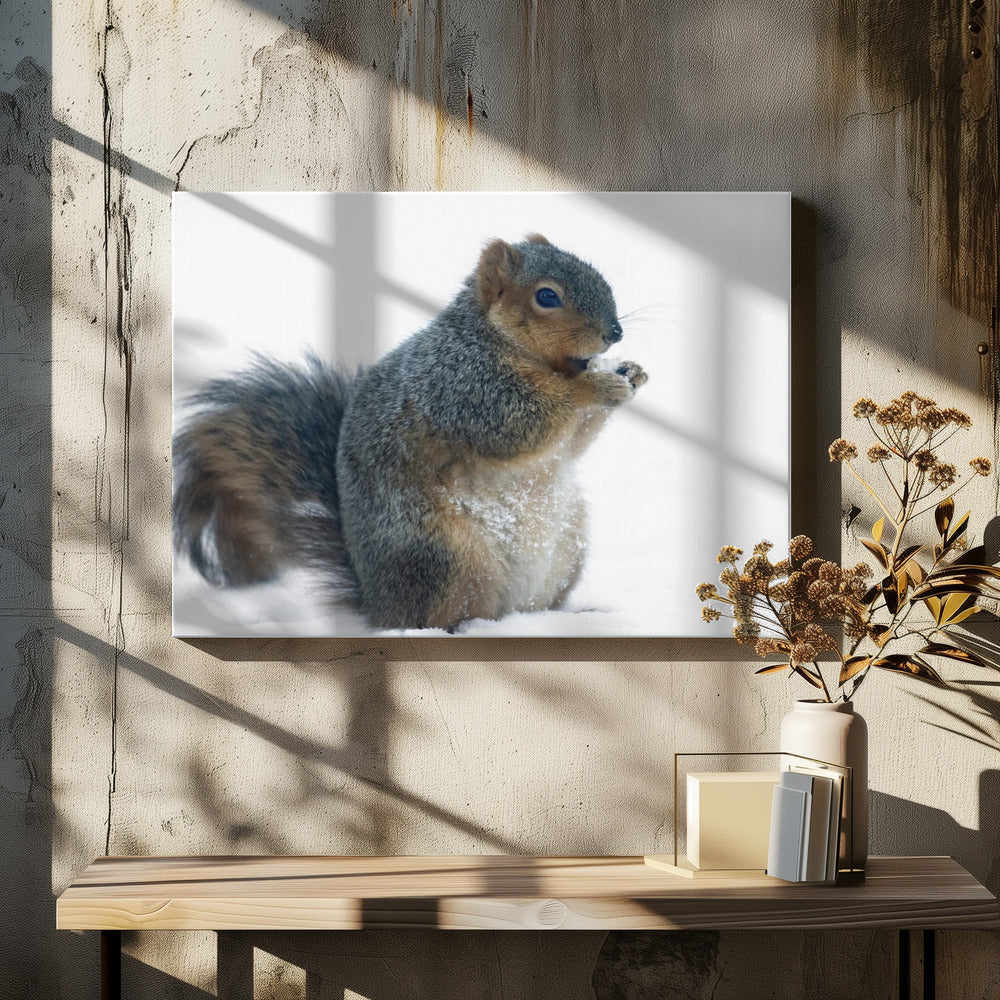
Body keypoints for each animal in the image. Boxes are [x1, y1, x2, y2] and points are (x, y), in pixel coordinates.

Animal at [173, 234, 648, 631]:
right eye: (546, 296)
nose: (615, 332)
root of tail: (376, 603)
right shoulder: (463, 389)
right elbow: (522, 424)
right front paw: (597, 386)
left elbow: (572, 444)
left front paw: (631, 372)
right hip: (440, 556)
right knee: (436, 617)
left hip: (567, 550)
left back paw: (574, 617)